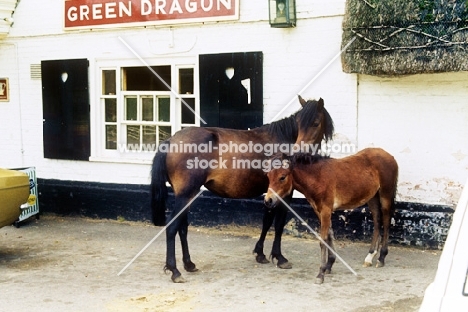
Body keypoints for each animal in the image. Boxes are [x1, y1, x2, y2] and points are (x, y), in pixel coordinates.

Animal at [152, 95, 334, 282]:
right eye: (299, 123)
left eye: (315, 123)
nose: (297, 151)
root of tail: (170, 140)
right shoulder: (284, 194)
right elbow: (278, 224)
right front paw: (279, 257)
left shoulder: (271, 195)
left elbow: (267, 221)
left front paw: (260, 253)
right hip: (185, 195)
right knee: (172, 227)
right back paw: (174, 270)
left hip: (187, 195)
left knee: (182, 228)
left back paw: (189, 264)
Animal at [266, 149, 396, 286]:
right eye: (268, 176)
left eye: (282, 177)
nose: (268, 200)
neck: (317, 177)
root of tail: (388, 155)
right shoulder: (319, 211)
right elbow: (329, 235)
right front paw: (329, 264)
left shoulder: (326, 210)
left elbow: (323, 240)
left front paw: (320, 273)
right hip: (372, 198)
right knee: (377, 221)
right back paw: (370, 256)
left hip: (385, 196)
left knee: (386, 221)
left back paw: (381, 258)